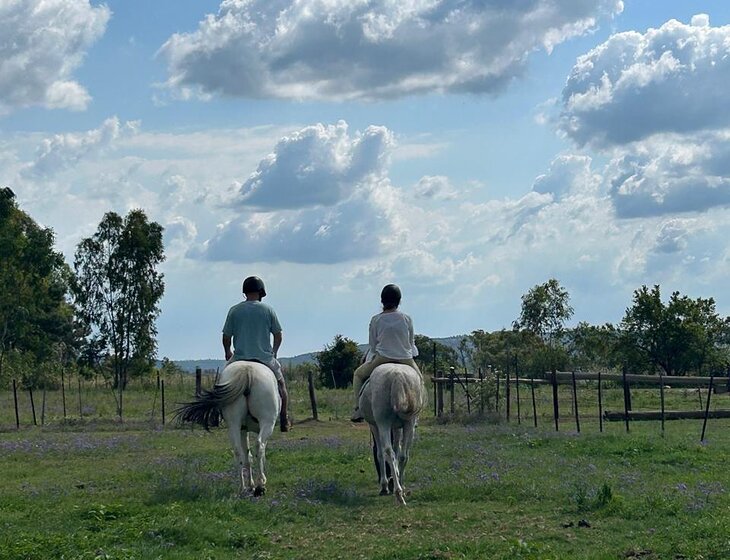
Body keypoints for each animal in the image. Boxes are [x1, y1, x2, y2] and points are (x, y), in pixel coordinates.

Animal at [174, 361, 280, 496]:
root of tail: (247, 370)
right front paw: (257, 482)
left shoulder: (243, 430)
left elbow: (248, 457)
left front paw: (250, 485)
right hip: (267, 422)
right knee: (259, 446)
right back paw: (260, 486)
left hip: (234, 425)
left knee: (238, 452)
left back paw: (243, 488)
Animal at [359, 363, 424, 505]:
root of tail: (397, 375)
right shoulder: (397, 427)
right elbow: (397, 449)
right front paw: (396, 477)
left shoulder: (374, 425)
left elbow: (379, 453)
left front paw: (384, 485)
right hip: (409, 424)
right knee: (403, 455)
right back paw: (401, 487)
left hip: (383, 423)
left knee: (388, 452)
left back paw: (398, 493)